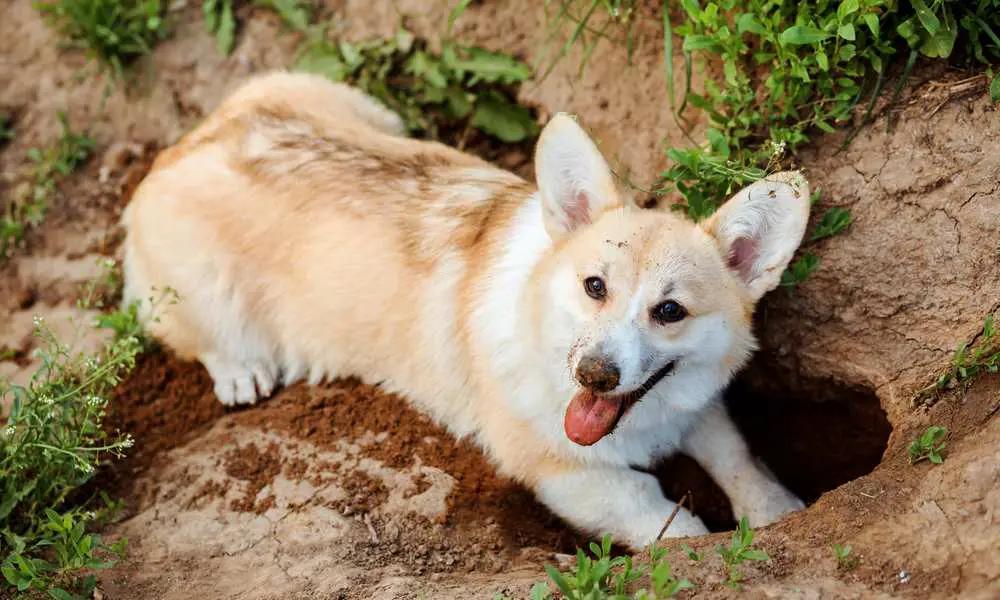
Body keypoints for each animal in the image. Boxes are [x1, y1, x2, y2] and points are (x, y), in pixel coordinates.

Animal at [123, 70, 812, 548]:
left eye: (670, 311)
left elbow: (739, 457)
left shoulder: (698, 407)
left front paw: (780, 513)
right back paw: (241, 371)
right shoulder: (569, 476)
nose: (593, 374)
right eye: (594, 286)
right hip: (201, 294)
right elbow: (671, 524)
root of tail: (178, 148)